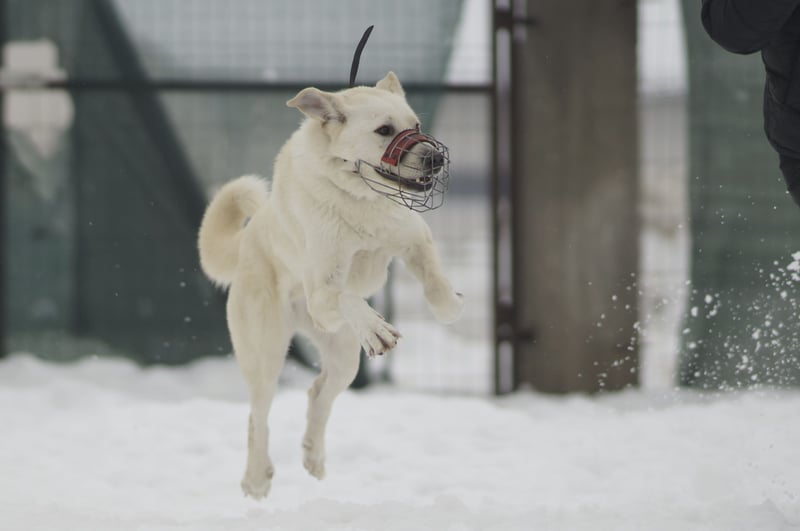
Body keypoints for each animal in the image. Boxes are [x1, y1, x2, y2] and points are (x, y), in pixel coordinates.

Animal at [197, 72, 463, 499]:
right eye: (384, 130)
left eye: (416, 125)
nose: (435, 158)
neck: (360, 199)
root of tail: (248, 239)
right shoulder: (323, 293)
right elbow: (349, 298)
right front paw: (376, 327)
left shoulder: (413, 237)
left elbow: (434, 278)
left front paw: (449, 307)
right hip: (266, 353)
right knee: (258, 415)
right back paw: (256, 479)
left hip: (342, 356)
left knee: (318, 394)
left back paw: (313, 456)